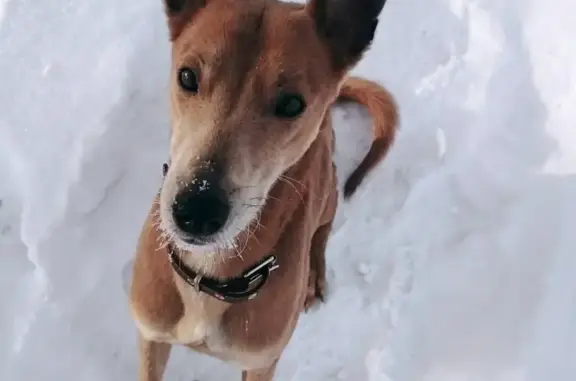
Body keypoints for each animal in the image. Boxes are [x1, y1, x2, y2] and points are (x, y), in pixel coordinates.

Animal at [129, 0, 400, 380]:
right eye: (187, 76)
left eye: (292, 104)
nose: (196, 211)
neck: (208, 275)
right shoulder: (151, 337)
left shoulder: (261, 363)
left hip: (328, 191)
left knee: (322, 230)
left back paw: (314, 275)